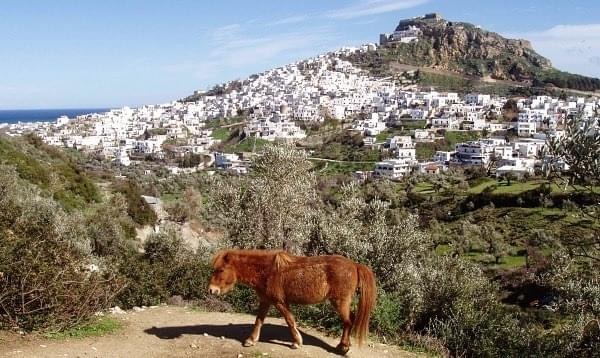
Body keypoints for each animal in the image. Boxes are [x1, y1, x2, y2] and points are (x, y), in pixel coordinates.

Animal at [207, 250, 376, 354]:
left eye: (220, 270)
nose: (211, 290)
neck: (268, 271)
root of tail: (355, 265)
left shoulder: (280, 302)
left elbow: (290, 320)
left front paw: (296, 342)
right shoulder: (266, 301)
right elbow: (258, 321)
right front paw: (251, 340)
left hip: (340, 302)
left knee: (348, 321)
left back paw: (343, 347)